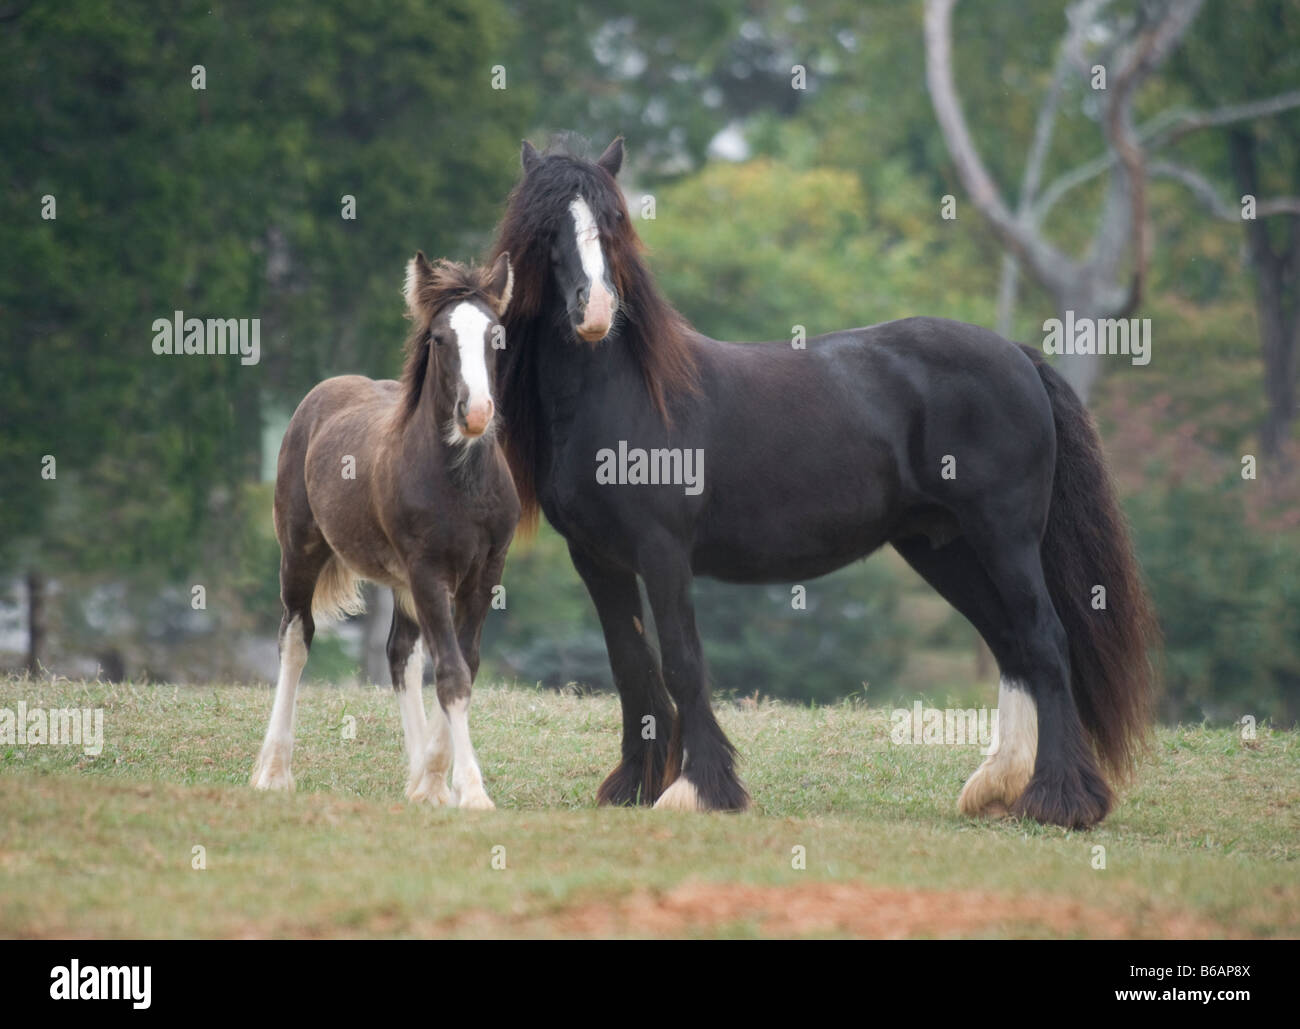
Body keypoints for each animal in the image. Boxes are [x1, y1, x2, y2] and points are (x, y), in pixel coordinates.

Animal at [488, 138, 1159, 826]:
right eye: (546, 227)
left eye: (614, 221)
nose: (595, 312)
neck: (623, 393)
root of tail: (1020, 356)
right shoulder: (598, 558)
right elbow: (630, 664)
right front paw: (634, 786)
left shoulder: (663, 550)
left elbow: (681, 662)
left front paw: (700, 789)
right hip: (945, 547)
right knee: (1013, 644)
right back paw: (1000, 787)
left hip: (1005, 538)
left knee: (1045, 640)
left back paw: (1058, 799)